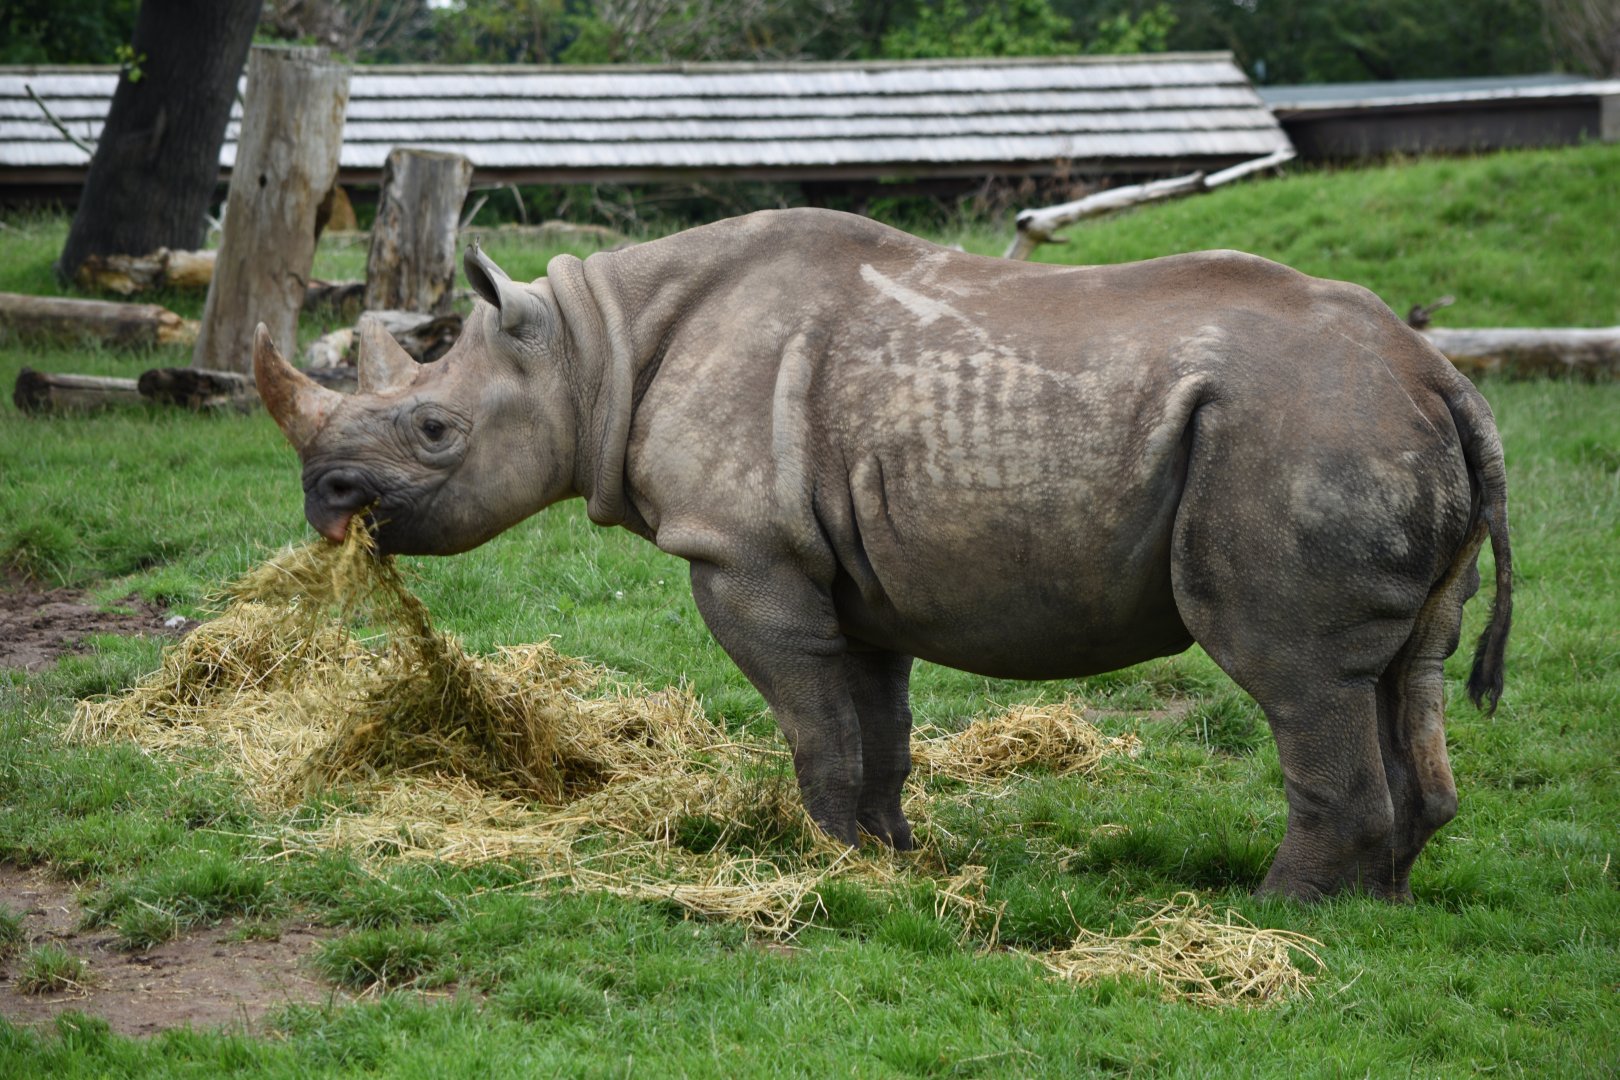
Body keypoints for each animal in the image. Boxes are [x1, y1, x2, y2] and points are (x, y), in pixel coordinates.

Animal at [254, 208, 1511, 901]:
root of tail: (1434, 371)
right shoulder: (853, 569)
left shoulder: (746, 555)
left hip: (1299, 433)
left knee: (1294, 671)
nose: (328, 500)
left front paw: (821, 859)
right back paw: (1381, 902)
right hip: (1366, 428)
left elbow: (814, 721)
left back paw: (1277, 910)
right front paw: (888, 856)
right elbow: (877, 724)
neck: (592, 349)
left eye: (434, 430)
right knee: (1406, 669)